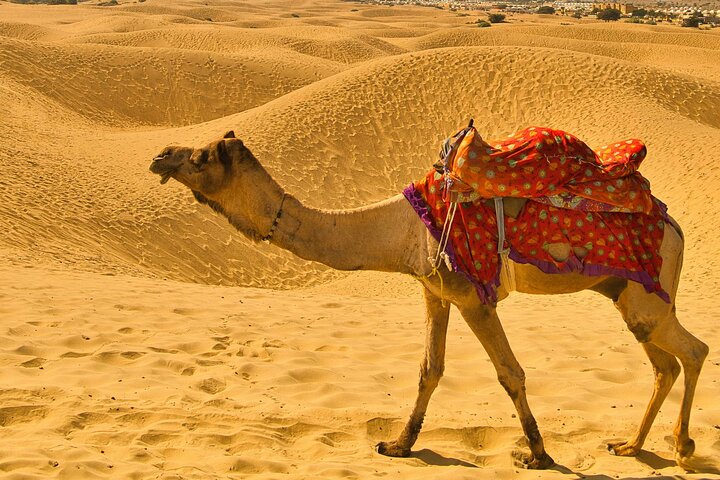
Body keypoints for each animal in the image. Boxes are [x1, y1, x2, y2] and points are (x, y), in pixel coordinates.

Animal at [149, 131, 708, 470]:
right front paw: (398, 445)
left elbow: (510, 373)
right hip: (627, 294)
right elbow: (429, 370)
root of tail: (675, 225)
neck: (400, 230)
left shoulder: (473, 296)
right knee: (664, 363)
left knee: (693, 351)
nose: (160, 155)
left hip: (648, 293)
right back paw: (631, 445)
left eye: (200, 158)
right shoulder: (434, 291)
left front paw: (538, 455)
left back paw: (683, 449)